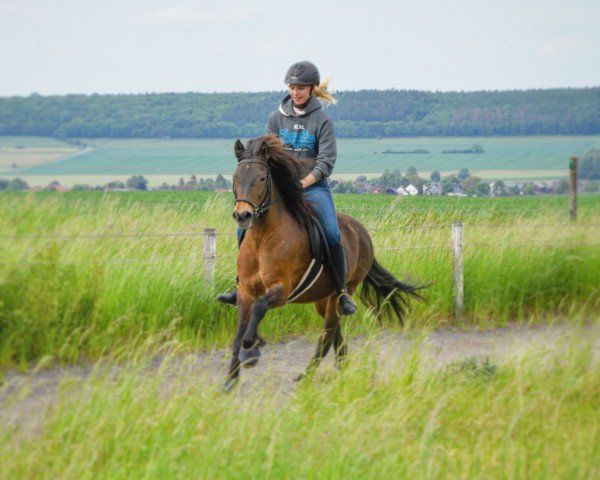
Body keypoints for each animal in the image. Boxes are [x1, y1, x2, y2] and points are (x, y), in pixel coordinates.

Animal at [225, 135, 426, 390]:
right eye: (235, 177)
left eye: (262, 178)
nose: (243, 215)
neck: (264, 239)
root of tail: (362, 232)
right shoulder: (245, 291)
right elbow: (238, 334)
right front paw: (230, 380)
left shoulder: (281, 290)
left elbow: (259, 310)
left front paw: (253, 347)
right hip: (323, 297)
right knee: (335, 332)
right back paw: (343, 368)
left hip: (342, 292)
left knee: (328, 333)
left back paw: (307, 376)